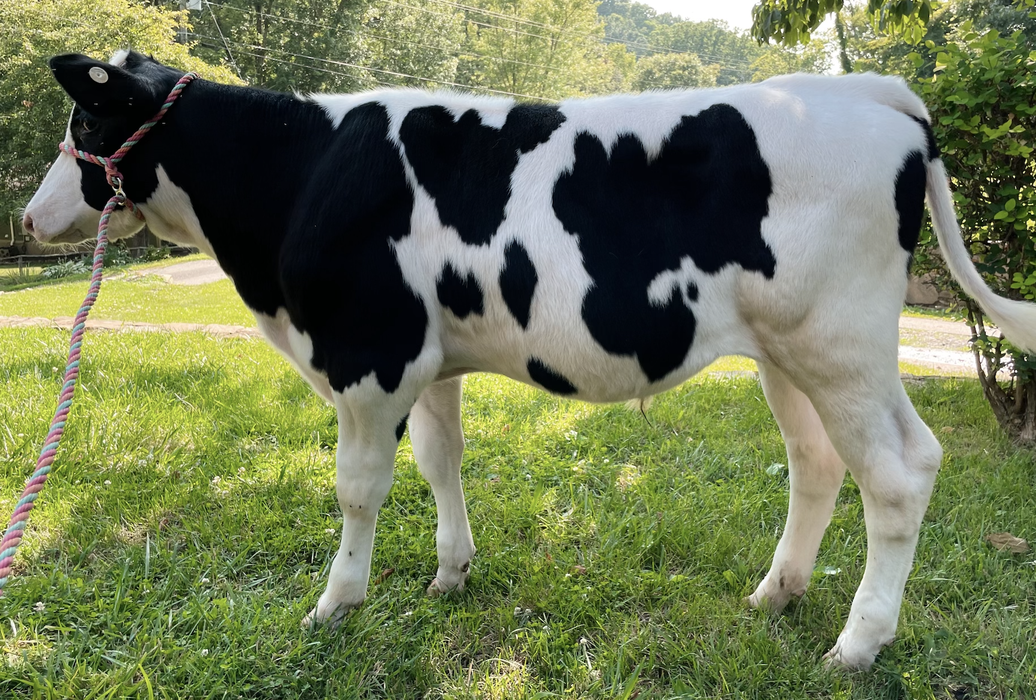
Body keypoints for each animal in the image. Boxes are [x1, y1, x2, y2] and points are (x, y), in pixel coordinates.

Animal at [22, 50, 1036, 670]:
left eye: (84, 121)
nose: (29, 218)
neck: (298, 174)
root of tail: (869, 90)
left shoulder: (369, 354)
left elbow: (357, 490)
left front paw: (335, 604)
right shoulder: (430, 360)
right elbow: (441, 463)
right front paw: (450, 573)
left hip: (842, 340)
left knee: (900, 472)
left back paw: (859, 644)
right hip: (786, 351)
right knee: (817, 463)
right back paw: (775, 596)